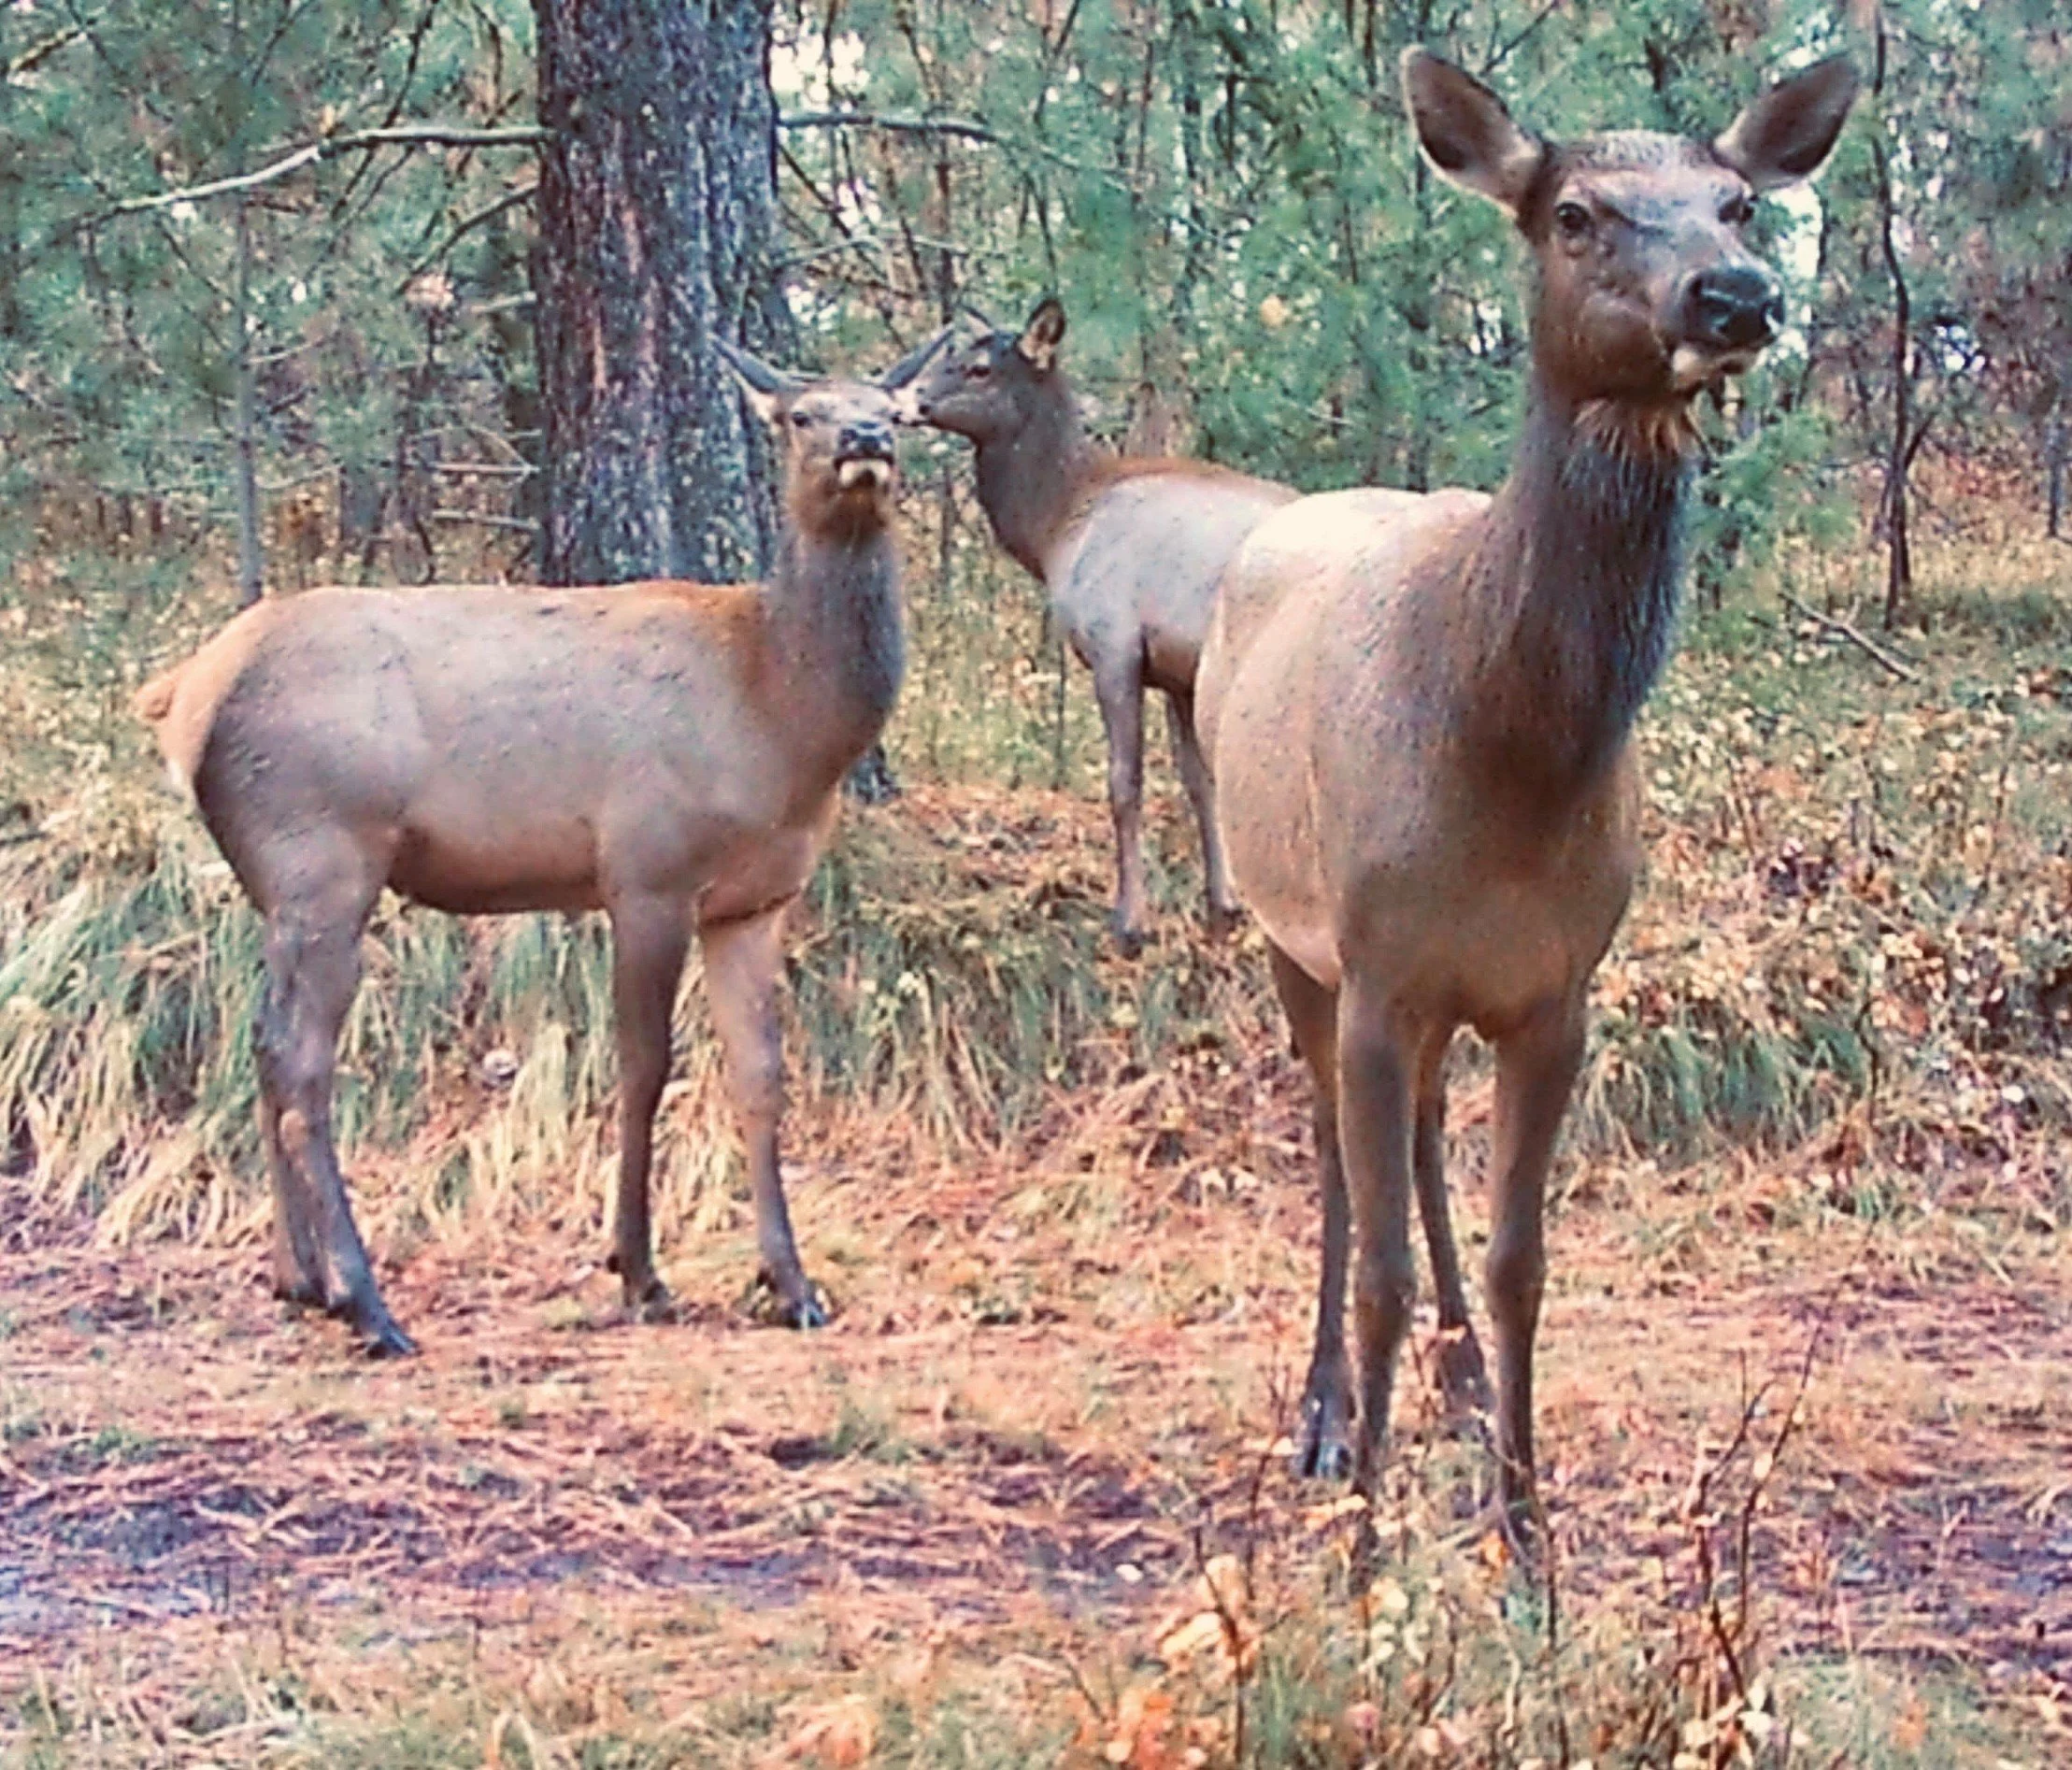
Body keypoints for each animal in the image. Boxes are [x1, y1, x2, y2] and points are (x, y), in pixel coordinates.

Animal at [132, 330, 950, 1357]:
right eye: (801, 413)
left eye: (899, 408)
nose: (866, 439)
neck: (781, 716)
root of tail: (183, 699)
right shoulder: (646, 868)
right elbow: (644, 1067)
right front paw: (637, 1269)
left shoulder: (755, 901)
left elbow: (761, 1076)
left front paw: (792, 1283)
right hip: (324, 852)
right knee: (302, 1060)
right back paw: (366, 1302)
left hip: (278, 882)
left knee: (260, 1045)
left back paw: (299, 1279)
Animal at [905, 297, 1297, 955]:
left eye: (979, 368)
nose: (904, 400)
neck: (1054, 530)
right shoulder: (1177, 672)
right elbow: (1199, 782)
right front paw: (1222, 906)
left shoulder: (1114, 645)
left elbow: (1125, 783)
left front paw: (1129, 922)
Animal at [1195, 48, 1857, 1551]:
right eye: (1573, 214)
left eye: (1739, 201)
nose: (1735, 297)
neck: (1508, 762)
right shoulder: (1379, 967)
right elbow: (1378, 1258)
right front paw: (1366, 1534)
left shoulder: (1557, 988)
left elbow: (1523, 1260)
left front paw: (1522, 1525)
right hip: (1290, 933)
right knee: (1335, 1153)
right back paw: (1329, 1412)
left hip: (1432, 994)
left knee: (1423, 1136)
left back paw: (1456, 1390)